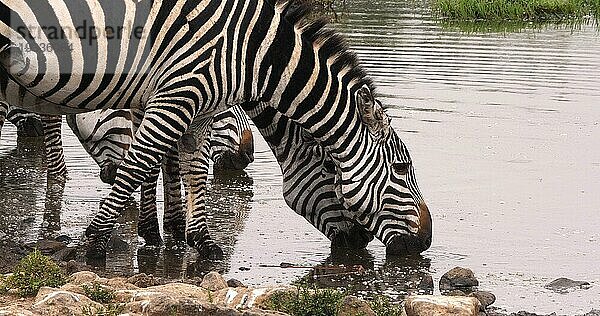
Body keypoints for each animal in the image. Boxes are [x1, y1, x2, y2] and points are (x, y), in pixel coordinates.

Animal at [0, 0, 432, 258]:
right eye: (400, 170)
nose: (424, 242)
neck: (253, 55)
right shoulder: (178, 90)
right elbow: (141, 164)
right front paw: (96, 241)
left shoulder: (189, 102)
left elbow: (186, 166)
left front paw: (193, 238)